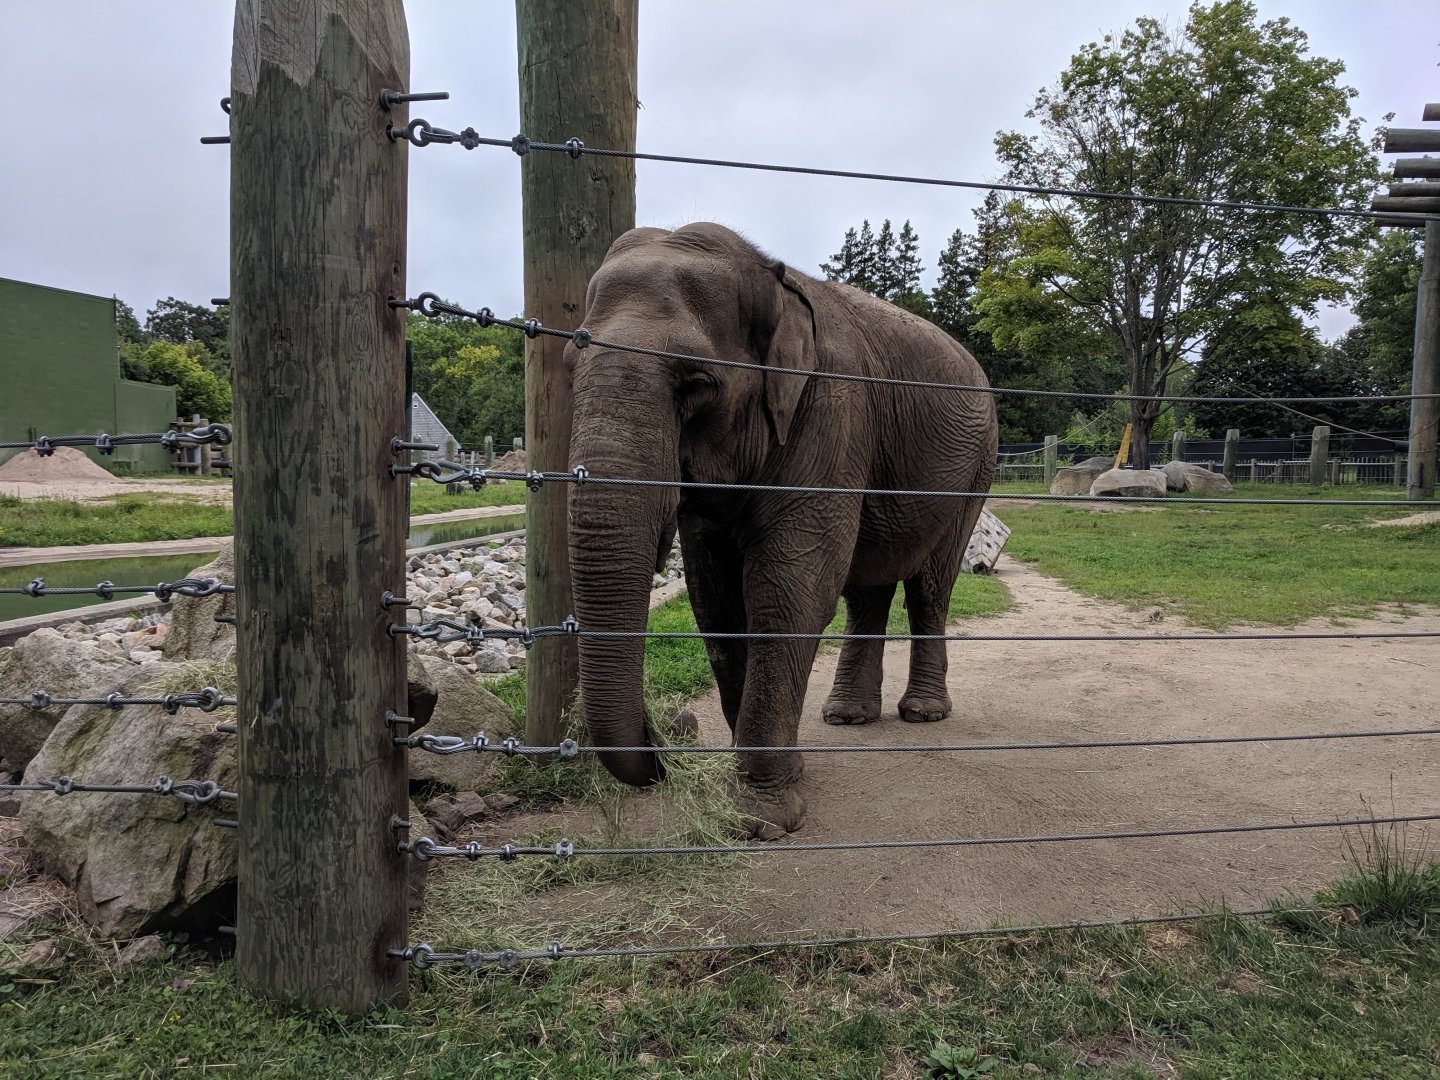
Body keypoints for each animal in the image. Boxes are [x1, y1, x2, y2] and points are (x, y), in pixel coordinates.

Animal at [566, 222, 998, 838]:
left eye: (696, 385)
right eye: (569, 369)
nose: (676, 729)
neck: (771, 276)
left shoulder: (831, 411)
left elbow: (789, 591)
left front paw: (761, 821)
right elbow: (716, 602)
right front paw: (773, 786)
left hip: (975, 471)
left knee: (930, 586)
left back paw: (921, 713)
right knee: (867, 587)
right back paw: (847, 718)